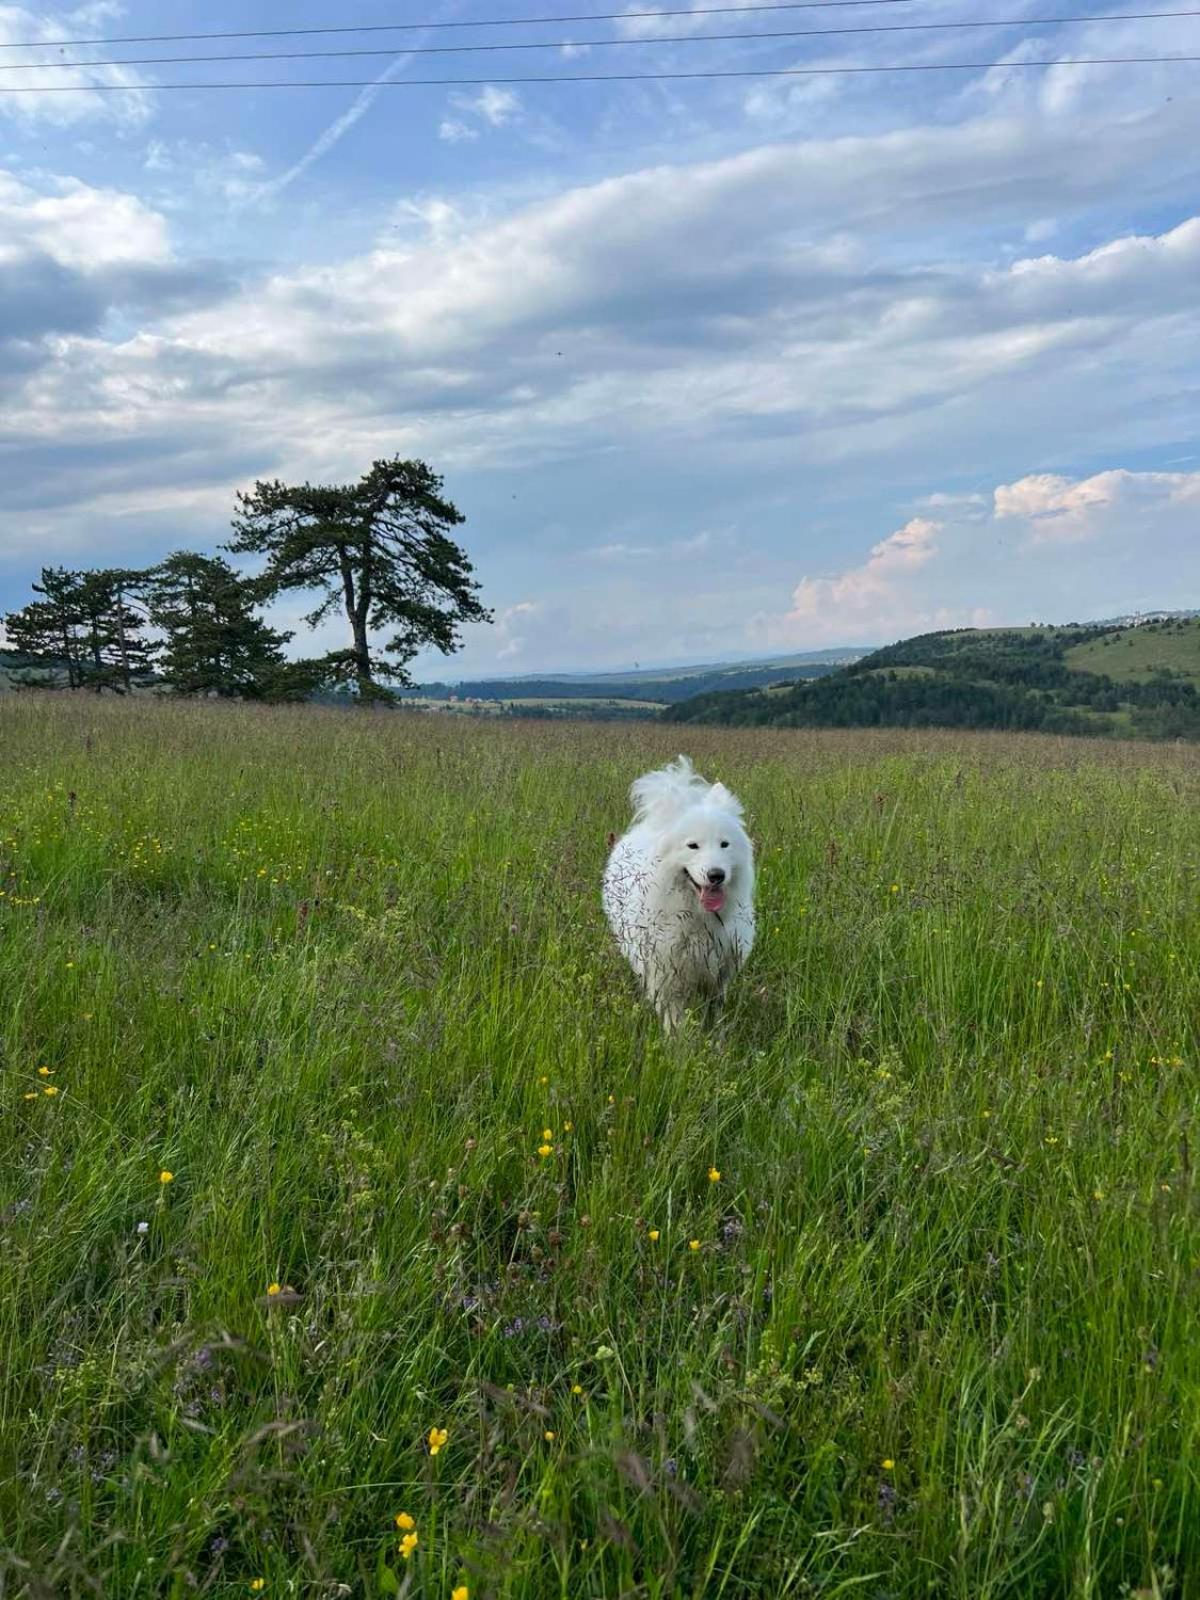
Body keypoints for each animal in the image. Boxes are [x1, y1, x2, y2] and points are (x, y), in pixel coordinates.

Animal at [604, 755, 755, 1030]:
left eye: (724, 844)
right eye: (692, 846)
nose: (716, 875)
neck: (698, 919)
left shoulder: (718, 974)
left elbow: (714, 1011)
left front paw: (715, 1037)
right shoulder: (665, 976)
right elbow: (675, 1020)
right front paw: (680, 1041)